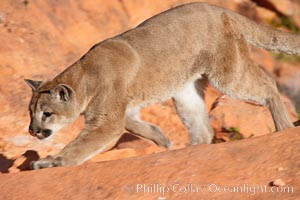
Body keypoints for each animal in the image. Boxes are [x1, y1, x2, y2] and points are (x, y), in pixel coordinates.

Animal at [24, 2, 298, 169]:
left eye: (46, 114)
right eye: (30, 112)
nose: (32, 131)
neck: (84, 75)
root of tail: (221, 8)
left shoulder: (107, 120)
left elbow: (80, 146)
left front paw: (51, 162)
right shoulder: (124, 107)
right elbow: (133, 124)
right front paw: (162, 140)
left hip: (228, 74)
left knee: (268, 83)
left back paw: (283, 127)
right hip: (185, 90)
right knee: (203, 129)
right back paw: (188, 151)